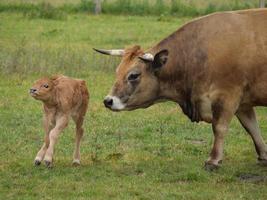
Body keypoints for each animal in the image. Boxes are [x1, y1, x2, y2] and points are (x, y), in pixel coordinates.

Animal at [94, 8, 267, 170]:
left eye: (134, 75)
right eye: (117, 71)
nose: (108, 101)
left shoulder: (227, 96)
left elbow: (219, 127)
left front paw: (213, 160)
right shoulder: (243, 103)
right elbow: (252, 128)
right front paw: (263, 156)